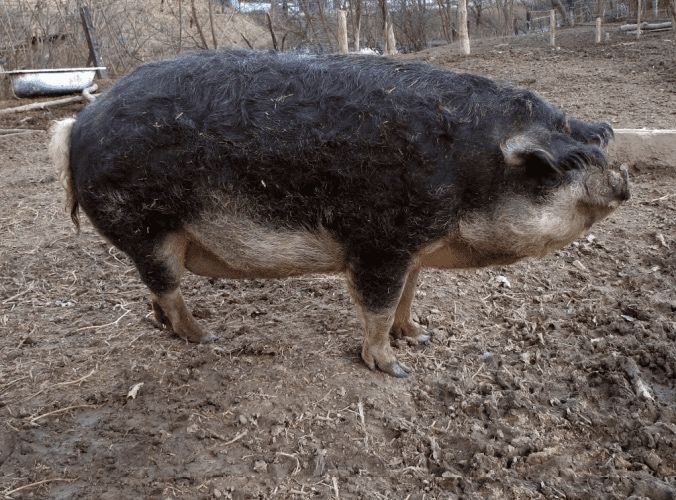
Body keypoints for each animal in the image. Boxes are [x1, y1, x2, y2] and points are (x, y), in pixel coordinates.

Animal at [49, 50, 629, 377]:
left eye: (595, 144)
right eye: (559, 166)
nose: (623, 182)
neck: (469, 167)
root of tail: (76, 125)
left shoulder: (412, 247)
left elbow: (406, 297)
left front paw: (421, 336)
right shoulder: (379, 240)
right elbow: (377, 306)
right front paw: (394, 369)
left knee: (154, 291)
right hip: (147, 226)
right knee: (166, 286)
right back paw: (205, 337)